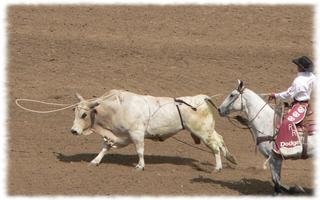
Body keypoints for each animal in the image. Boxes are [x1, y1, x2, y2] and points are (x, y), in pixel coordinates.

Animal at [71, 90, 236, 171]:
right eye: (74, 112)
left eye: (84, 114)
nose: (73, 131)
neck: (118, 107)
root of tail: (201, 98)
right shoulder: (121, 135)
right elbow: (105, 147)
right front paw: (95, 161)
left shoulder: (136, 133)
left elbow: (140, 150)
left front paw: (140, 166)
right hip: (208, 130)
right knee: (219, 139)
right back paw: (230, 158)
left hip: (203, 132)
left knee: (215, 147)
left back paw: (218, 167)